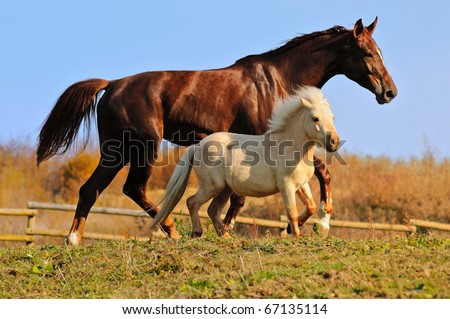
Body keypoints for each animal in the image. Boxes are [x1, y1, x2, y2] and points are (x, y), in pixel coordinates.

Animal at [149, 87, 340, 238]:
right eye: (315, 118)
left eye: (332, 117)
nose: (334, 142)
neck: (291, 147)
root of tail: (197, 146)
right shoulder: (286, 185)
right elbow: (291, 212)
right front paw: (296, 236)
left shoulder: (301, 184)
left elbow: (311, 206)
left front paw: (293, 229)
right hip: (213, 186)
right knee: (192, 202)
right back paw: (197, 233)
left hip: (225, 189)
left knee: (213, 210)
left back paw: (226, 237)